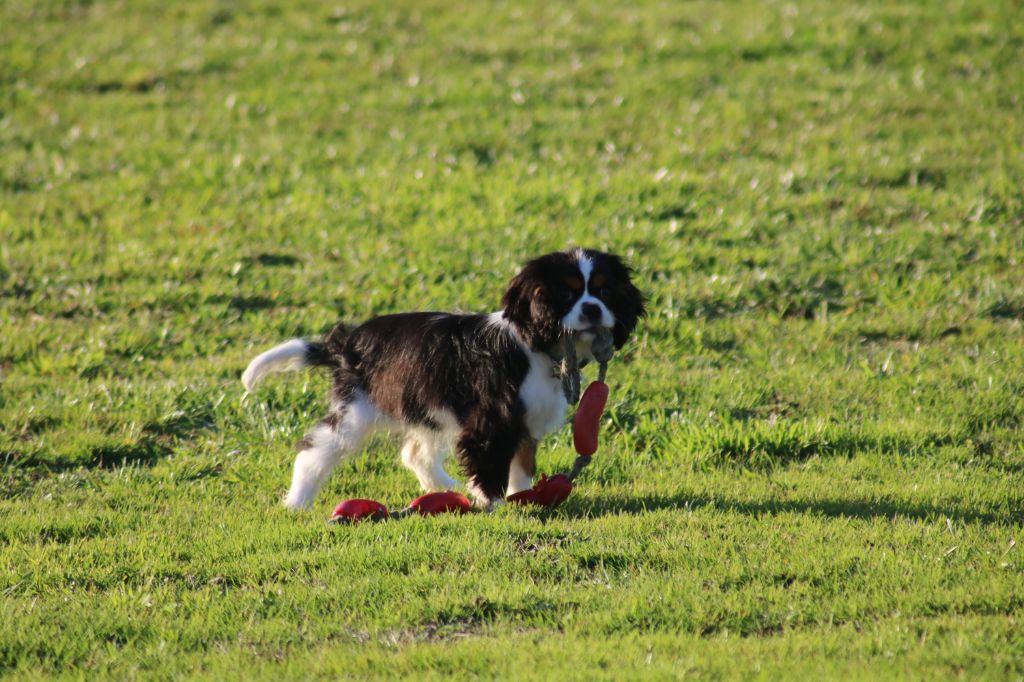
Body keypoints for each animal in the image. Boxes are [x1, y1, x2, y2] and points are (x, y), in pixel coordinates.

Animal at [239, 246, 643, 507]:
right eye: (565, 294)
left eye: (605, 292)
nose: (592, 309)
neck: (538, 347)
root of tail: (346, 343)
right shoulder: (491, 422)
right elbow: (492, 465)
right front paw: (495, 505)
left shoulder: (524, 423)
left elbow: (522, 464)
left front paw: (520, 497)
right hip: (357, 411)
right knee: (315, 451)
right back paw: (297, 502)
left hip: (426, 408)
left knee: (415, 453)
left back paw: (444, 489)